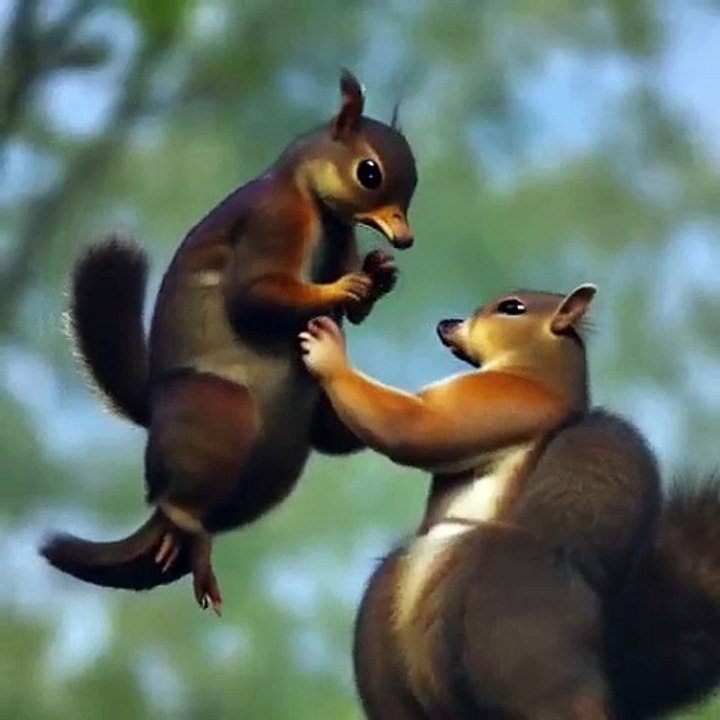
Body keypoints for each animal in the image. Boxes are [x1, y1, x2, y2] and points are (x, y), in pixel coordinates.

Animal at [40, 69, 418, 615]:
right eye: (370, 172)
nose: (405, 240)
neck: (312, 201)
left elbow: (352, 311)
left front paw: (379, 274)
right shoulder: (273, 221)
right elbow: (255, 296)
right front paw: (345, 287)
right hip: (219, 410)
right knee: (178, 501)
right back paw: (191, 538)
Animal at [299, 289, 720, 719]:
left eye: (512, 307)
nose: (447, 324)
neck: (535, 375)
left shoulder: (507, 401)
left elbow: (416, 423)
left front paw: (329, 352)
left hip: (516, 643)